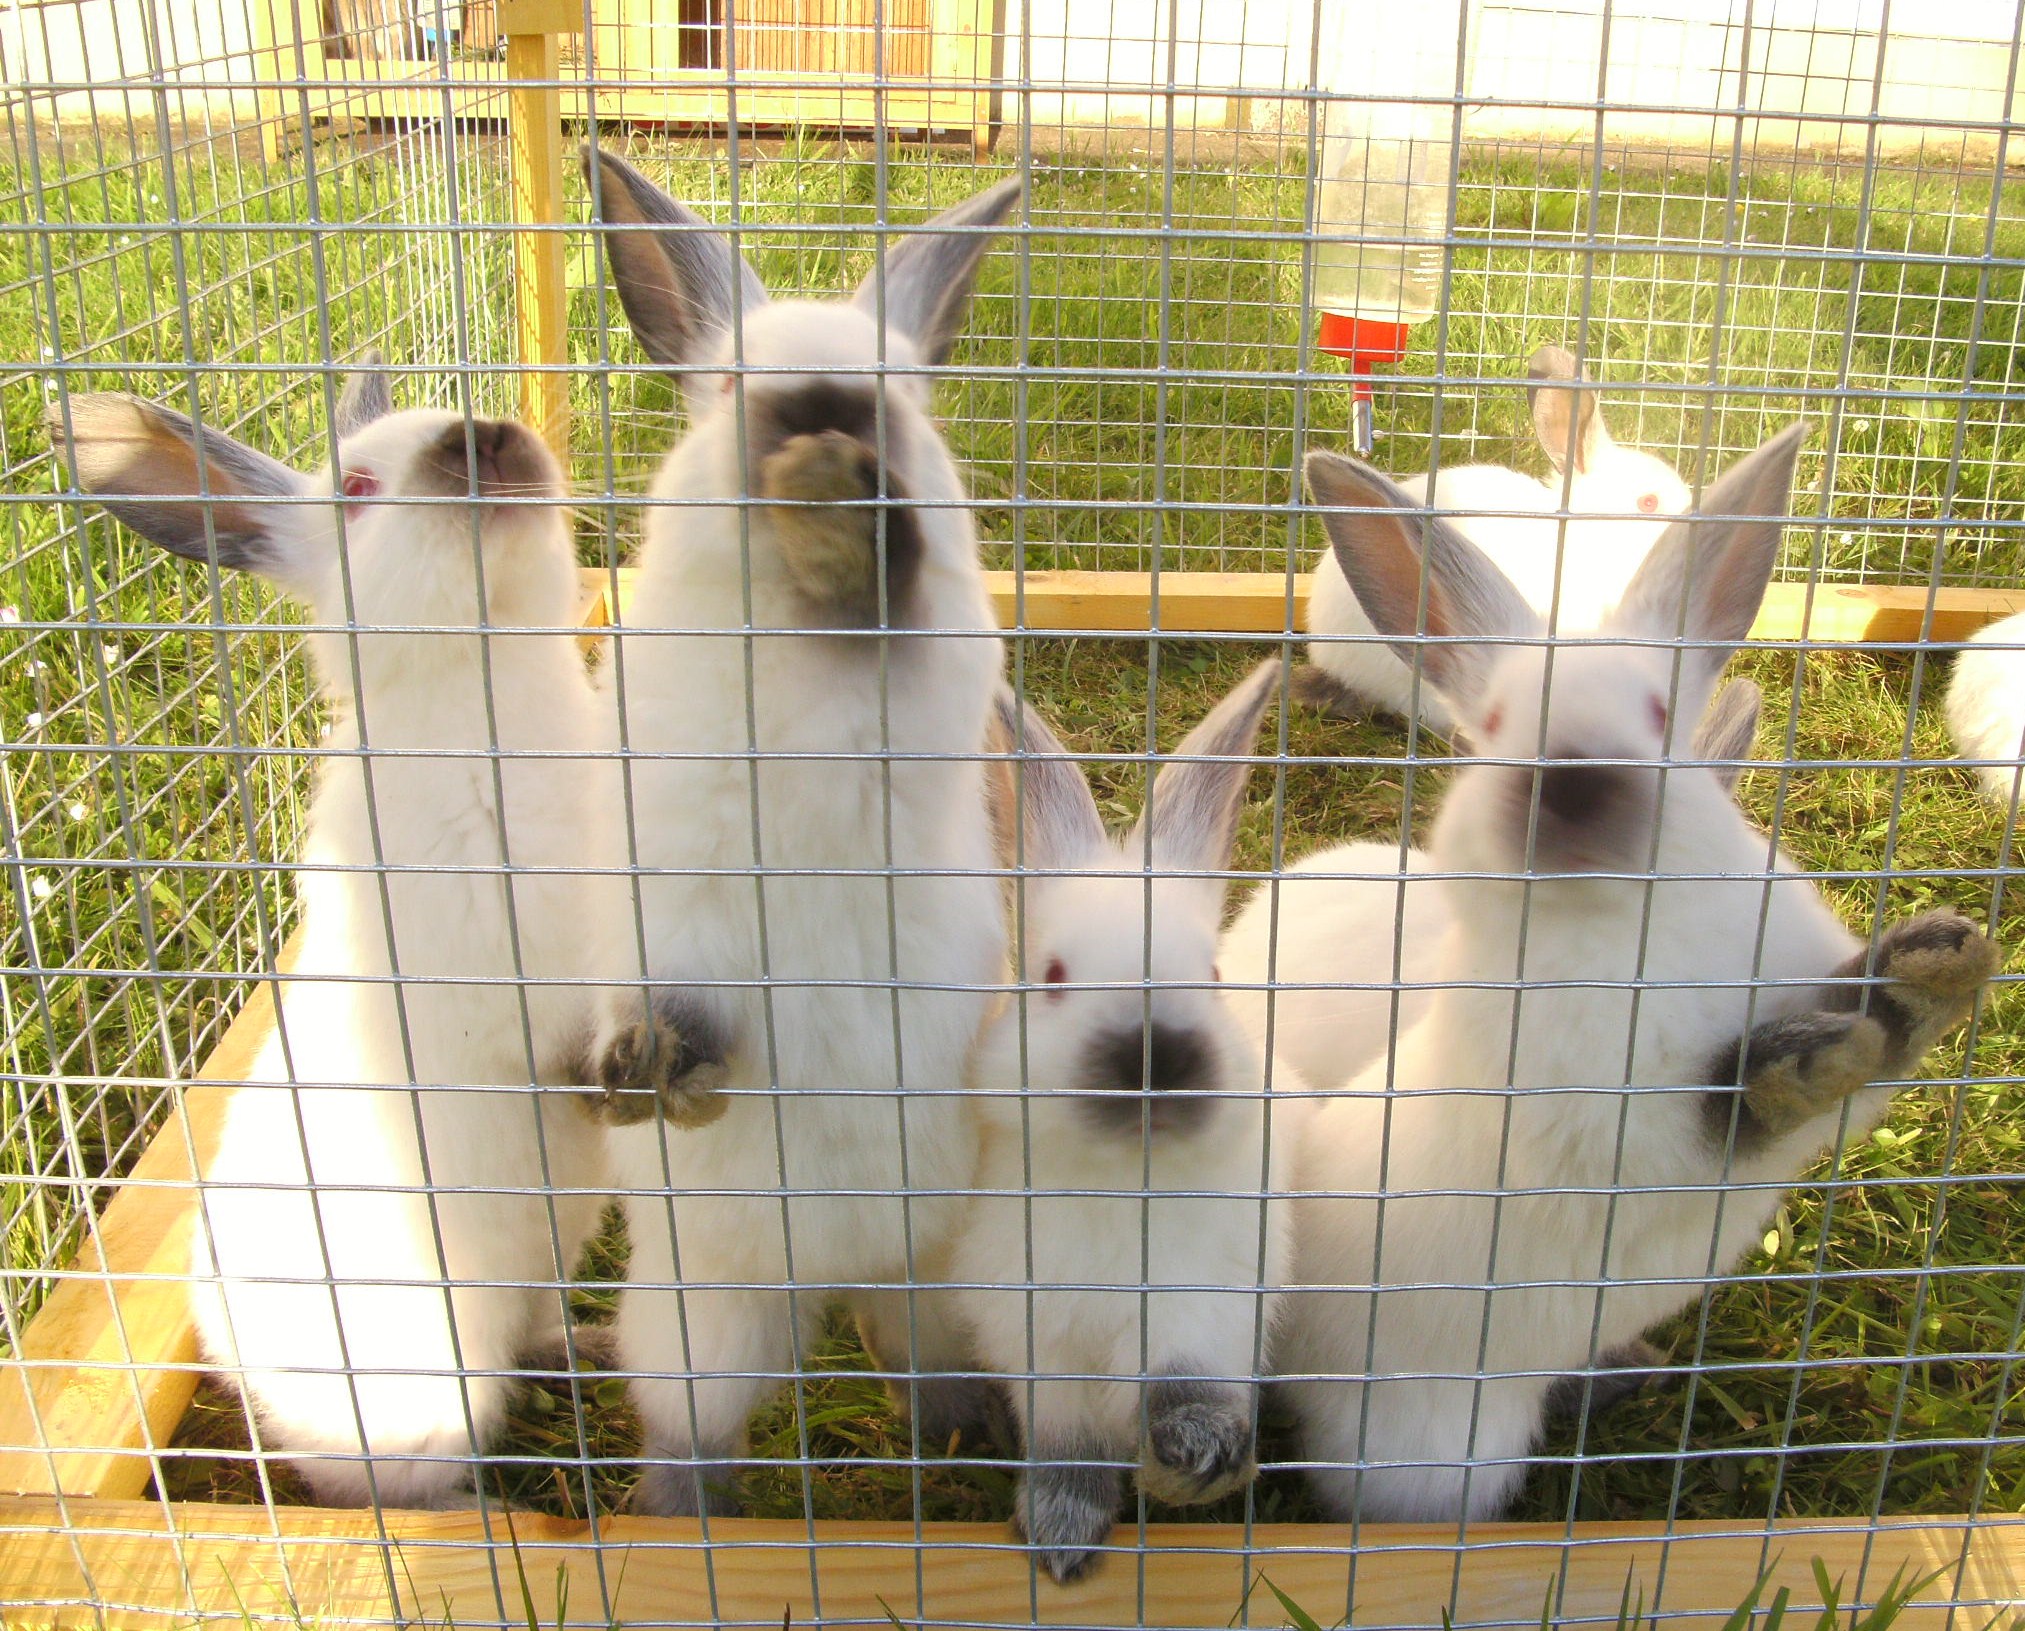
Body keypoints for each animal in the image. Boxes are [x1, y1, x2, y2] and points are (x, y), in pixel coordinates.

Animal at [50, 366, 633, 1507]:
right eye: (358, 488)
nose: (488, 439)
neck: (490, 694)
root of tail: (237, 1361)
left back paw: (588, 1347)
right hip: (431, 1388)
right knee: (376, 1486)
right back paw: (483, 1506)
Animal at [578, 146, 1022, 1515]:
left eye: (900, 384)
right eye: (728, 381)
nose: (822, 414)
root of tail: (831, 1277)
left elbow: (905, 603)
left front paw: (846, 515)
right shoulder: (673, 890)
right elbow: (673, 986)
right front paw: (646, 1070)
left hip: (943, 1279)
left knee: (928, 1367)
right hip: (697, 1316)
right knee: (694, 1428)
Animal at [949, 662, 1303, 1583]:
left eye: (1212, 974)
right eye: (1050, 976)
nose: (1155, 1059)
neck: (1125, 1182)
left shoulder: (1202, 1313)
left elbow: (1185, 1388)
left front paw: (1199, 1453)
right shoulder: (1042, 1345)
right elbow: (1066, 1446)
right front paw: (1061, 1538)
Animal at [1248, 427, 1998, 1523]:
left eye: (1657, 710)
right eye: (1492, 724)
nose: (1574, 782)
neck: (1628, 927)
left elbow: (1857, 1055)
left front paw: (1931, 969)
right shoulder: (1618, 1134)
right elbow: (1735, 1107)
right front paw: (1810, 1060)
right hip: (1435, 1449)